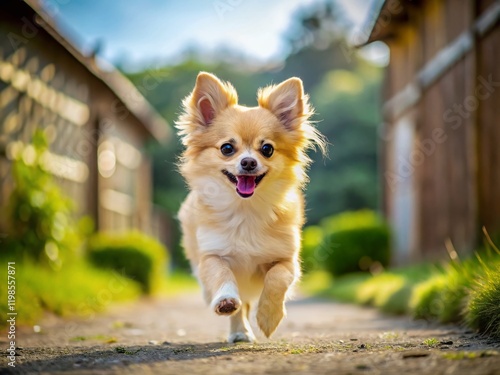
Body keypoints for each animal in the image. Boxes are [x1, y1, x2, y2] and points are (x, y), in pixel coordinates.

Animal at [175, 71, 324, 344]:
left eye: (267, 149)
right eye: (227, 148)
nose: (248, 162)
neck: (245, 209)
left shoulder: (287, 260)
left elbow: (277, 279)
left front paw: (268, 316)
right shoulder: (211, 255)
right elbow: (221, 275)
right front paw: (225, 300)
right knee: (239, 303)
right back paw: (239, 331)